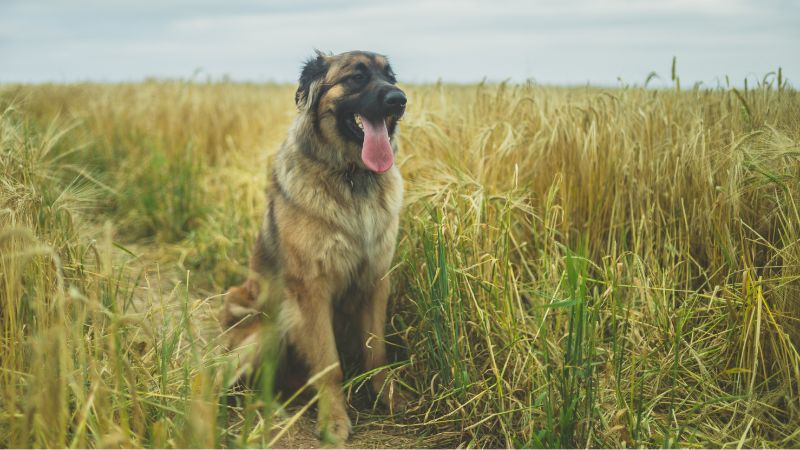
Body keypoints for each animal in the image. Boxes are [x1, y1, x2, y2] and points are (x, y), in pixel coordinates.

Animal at [219, 50, 406, 442]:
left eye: (391, 77)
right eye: (356, 77)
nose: (400, 100)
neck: (351, 175)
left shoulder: (375, 281)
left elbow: (376, 352)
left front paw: (387, 396)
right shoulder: (312, 292)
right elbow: (329, 366)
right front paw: (333, 419)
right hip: (268, 327)